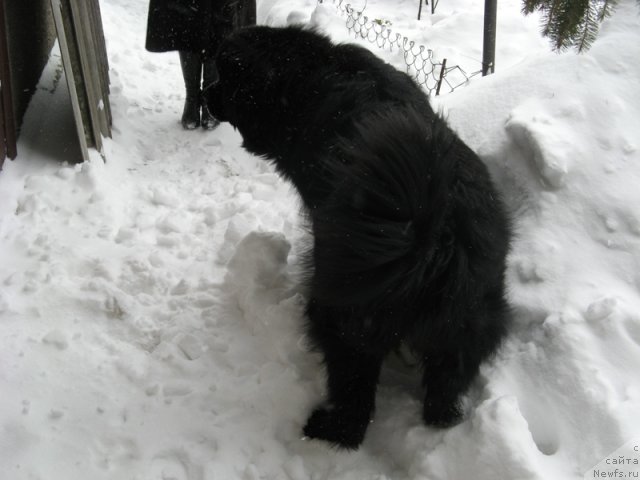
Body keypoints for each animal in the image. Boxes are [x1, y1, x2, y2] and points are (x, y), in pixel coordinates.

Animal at [208, 24, 512, 448]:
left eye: (223, 76)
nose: (205, 96)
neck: (307, 74)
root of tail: (433, 235)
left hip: (344, 319)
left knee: (355, 409)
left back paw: (324, 427)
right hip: (470, 322)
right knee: (443, 399)